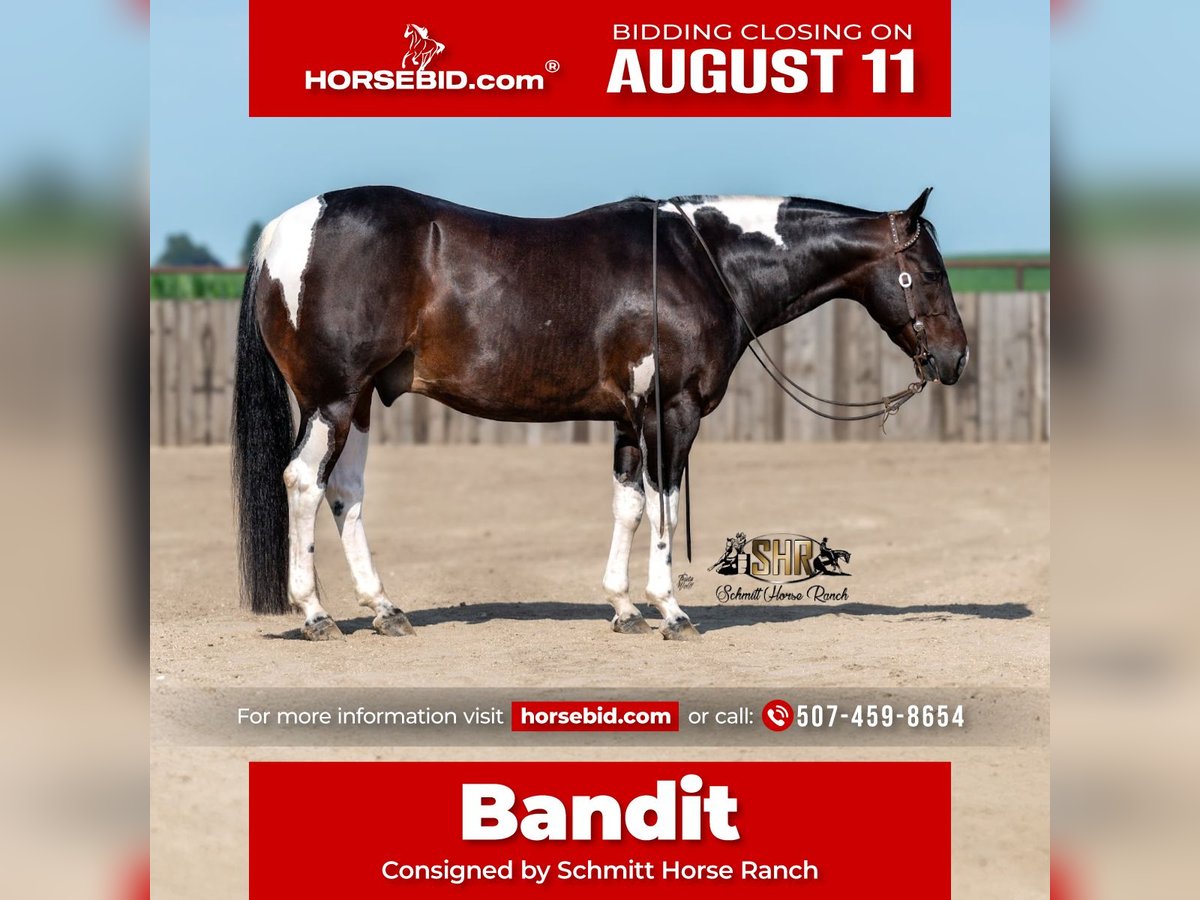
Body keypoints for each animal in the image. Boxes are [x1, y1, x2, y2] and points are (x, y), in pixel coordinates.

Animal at [232, 187, 969, 641]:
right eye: (932, 272)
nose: (956, 358)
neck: (700, 262)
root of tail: (283, 235)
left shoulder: (628, 420)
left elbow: (629, 506)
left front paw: (622, 607)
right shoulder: (673, 414)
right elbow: (664, 505)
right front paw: (670, 610)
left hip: (357, 401)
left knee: (346, 492)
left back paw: (385, 610)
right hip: (331, 399)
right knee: (304, 482)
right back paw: (316, 614)